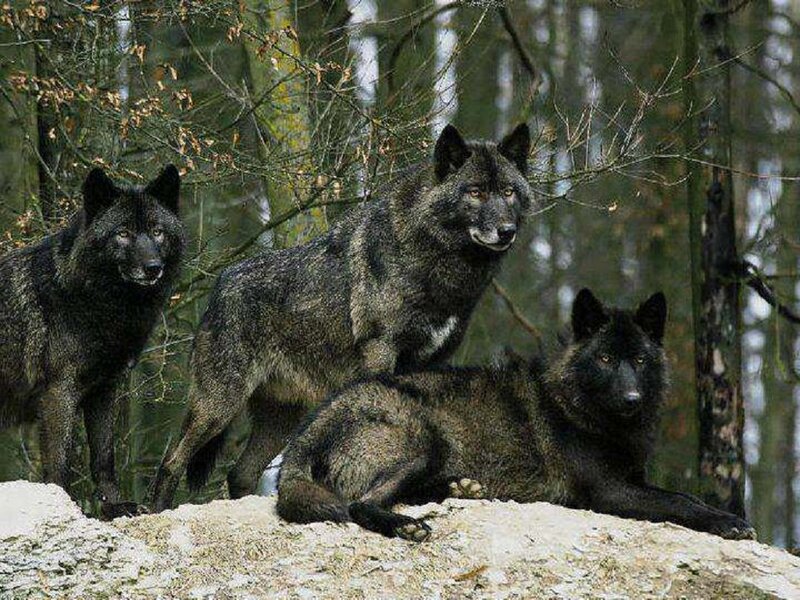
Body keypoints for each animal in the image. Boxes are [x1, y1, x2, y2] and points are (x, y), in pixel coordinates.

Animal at [0, 165, 185, 518]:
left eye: (157, 232)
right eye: (123, 233)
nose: (153, 268)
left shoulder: (105, 388)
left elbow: (104, 458)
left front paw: (114, 507)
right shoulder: (59, 391)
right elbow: (59, 465)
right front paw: (61, 509)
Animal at [150, 123, 534, 510]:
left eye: (508, 191)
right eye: (475, 192)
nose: (507, 230)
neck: (437, 263)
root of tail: (220, 284)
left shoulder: (435, 363)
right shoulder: (380, 351)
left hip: (280, 418)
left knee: (239, 473)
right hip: (219, 406)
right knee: (172, 461)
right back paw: (155, 510)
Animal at [276, 289, 755, 541]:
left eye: (638, 359)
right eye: (604, 359)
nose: (632, 398)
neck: (577, 410)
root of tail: (307, 430)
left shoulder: (633, 479)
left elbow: (688, 496)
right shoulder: (610, 492)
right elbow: (678, 503)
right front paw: (729, 523)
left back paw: (461, 488)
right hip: (424, 441)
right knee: (361, 504)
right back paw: (407, 525)